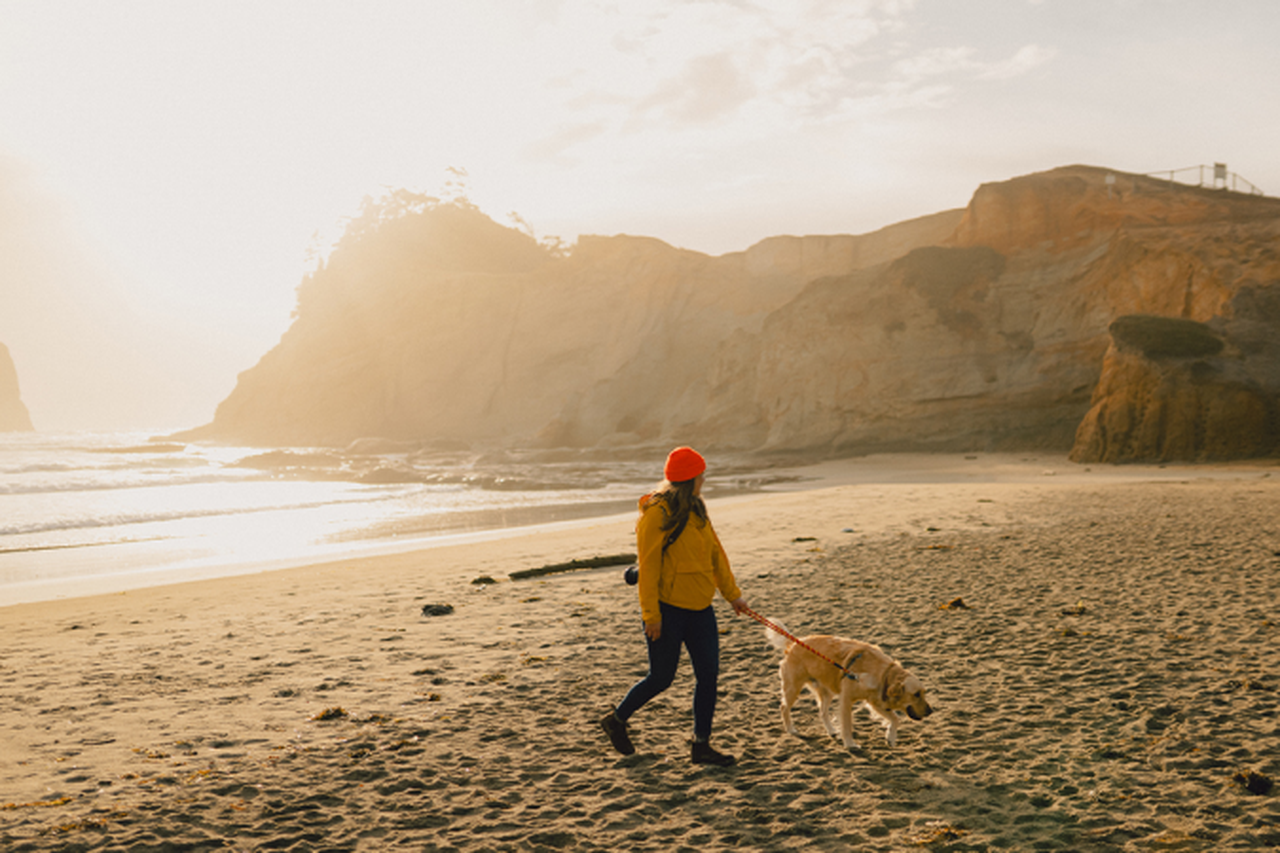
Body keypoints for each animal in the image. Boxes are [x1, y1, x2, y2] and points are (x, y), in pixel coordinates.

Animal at [762, 617, 936, 742]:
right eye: (916, 694)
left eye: (924, 692)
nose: (930, 711)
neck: (883, 673)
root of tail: (792, 644)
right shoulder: (846, 699)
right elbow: (847, 725)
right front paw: (850, 744)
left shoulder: (876, 701)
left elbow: (895, 719)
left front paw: (891, 737)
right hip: (793, 687)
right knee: (784, 707)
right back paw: (791, 730)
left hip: (826, 692)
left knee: (822, 712)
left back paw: (832, 731)